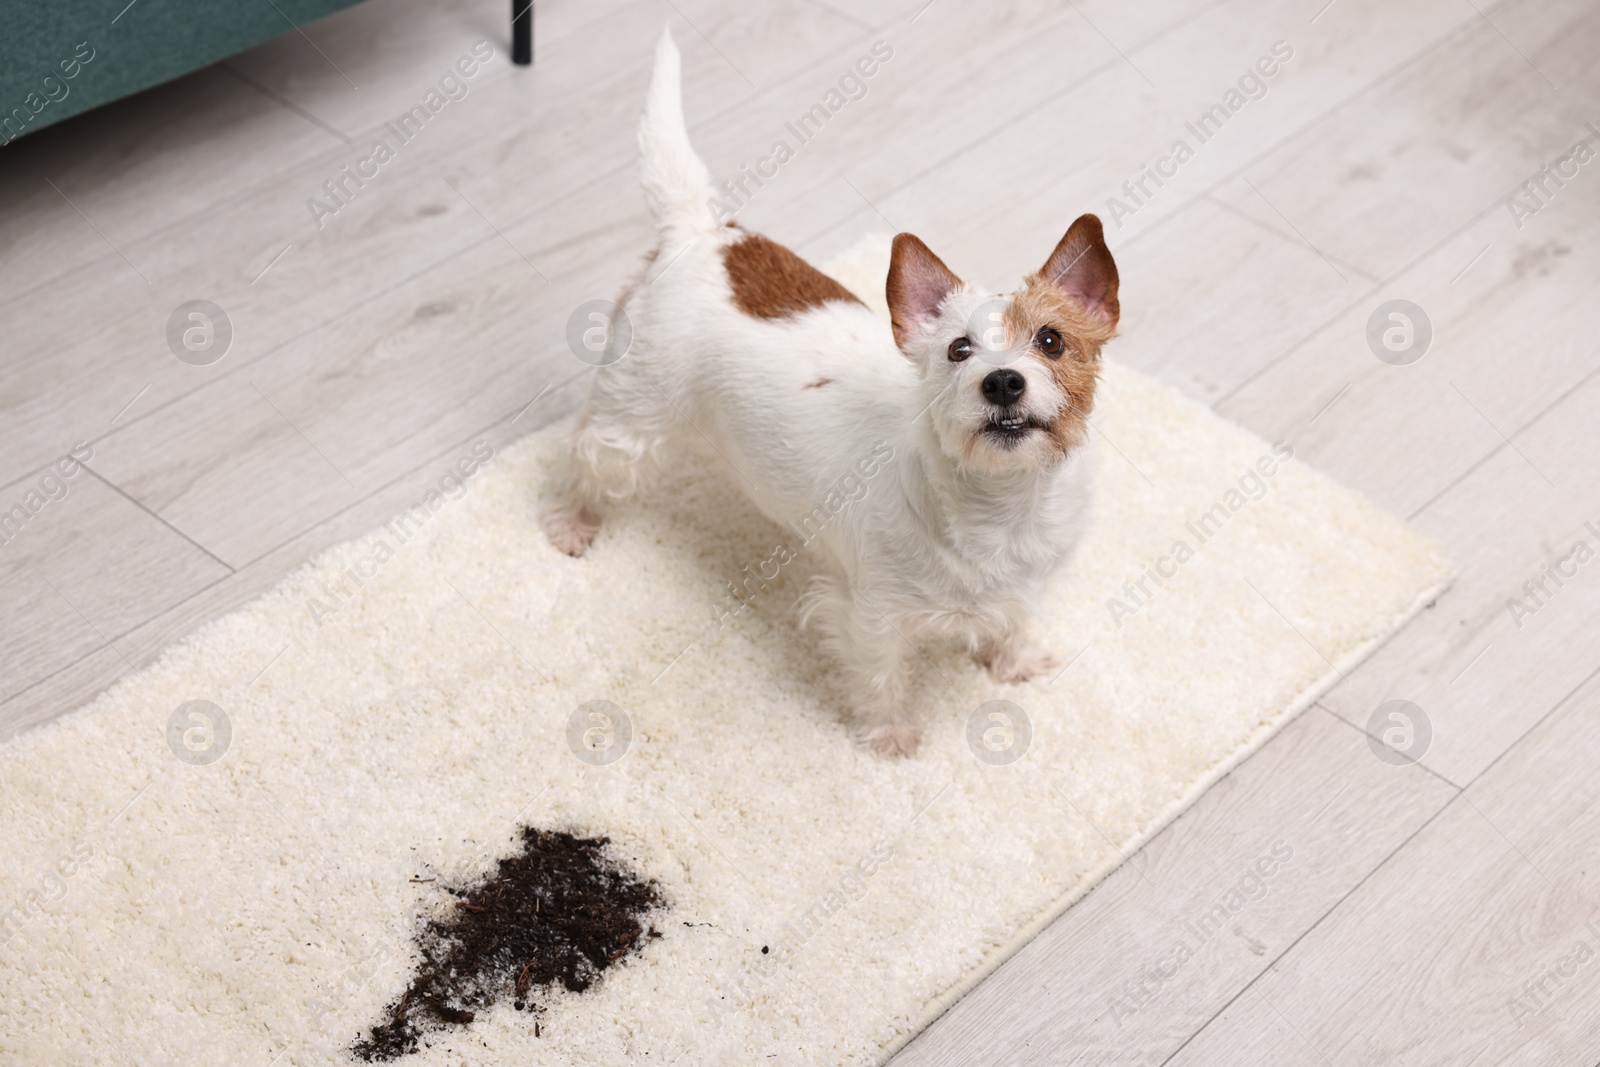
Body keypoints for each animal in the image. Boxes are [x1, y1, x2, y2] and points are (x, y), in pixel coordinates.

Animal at [544, 29, 1120, 755]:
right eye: (959, 349)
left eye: (1050, 340)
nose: (1003, 381)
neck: (1000, 505)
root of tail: (701, 230)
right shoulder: (871, 612)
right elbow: (881, 674)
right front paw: (892, 734)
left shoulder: (1027, 583)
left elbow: (1013, 620)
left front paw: (1012, 661)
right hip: (633, 417)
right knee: (586, 455)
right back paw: (570, 521)